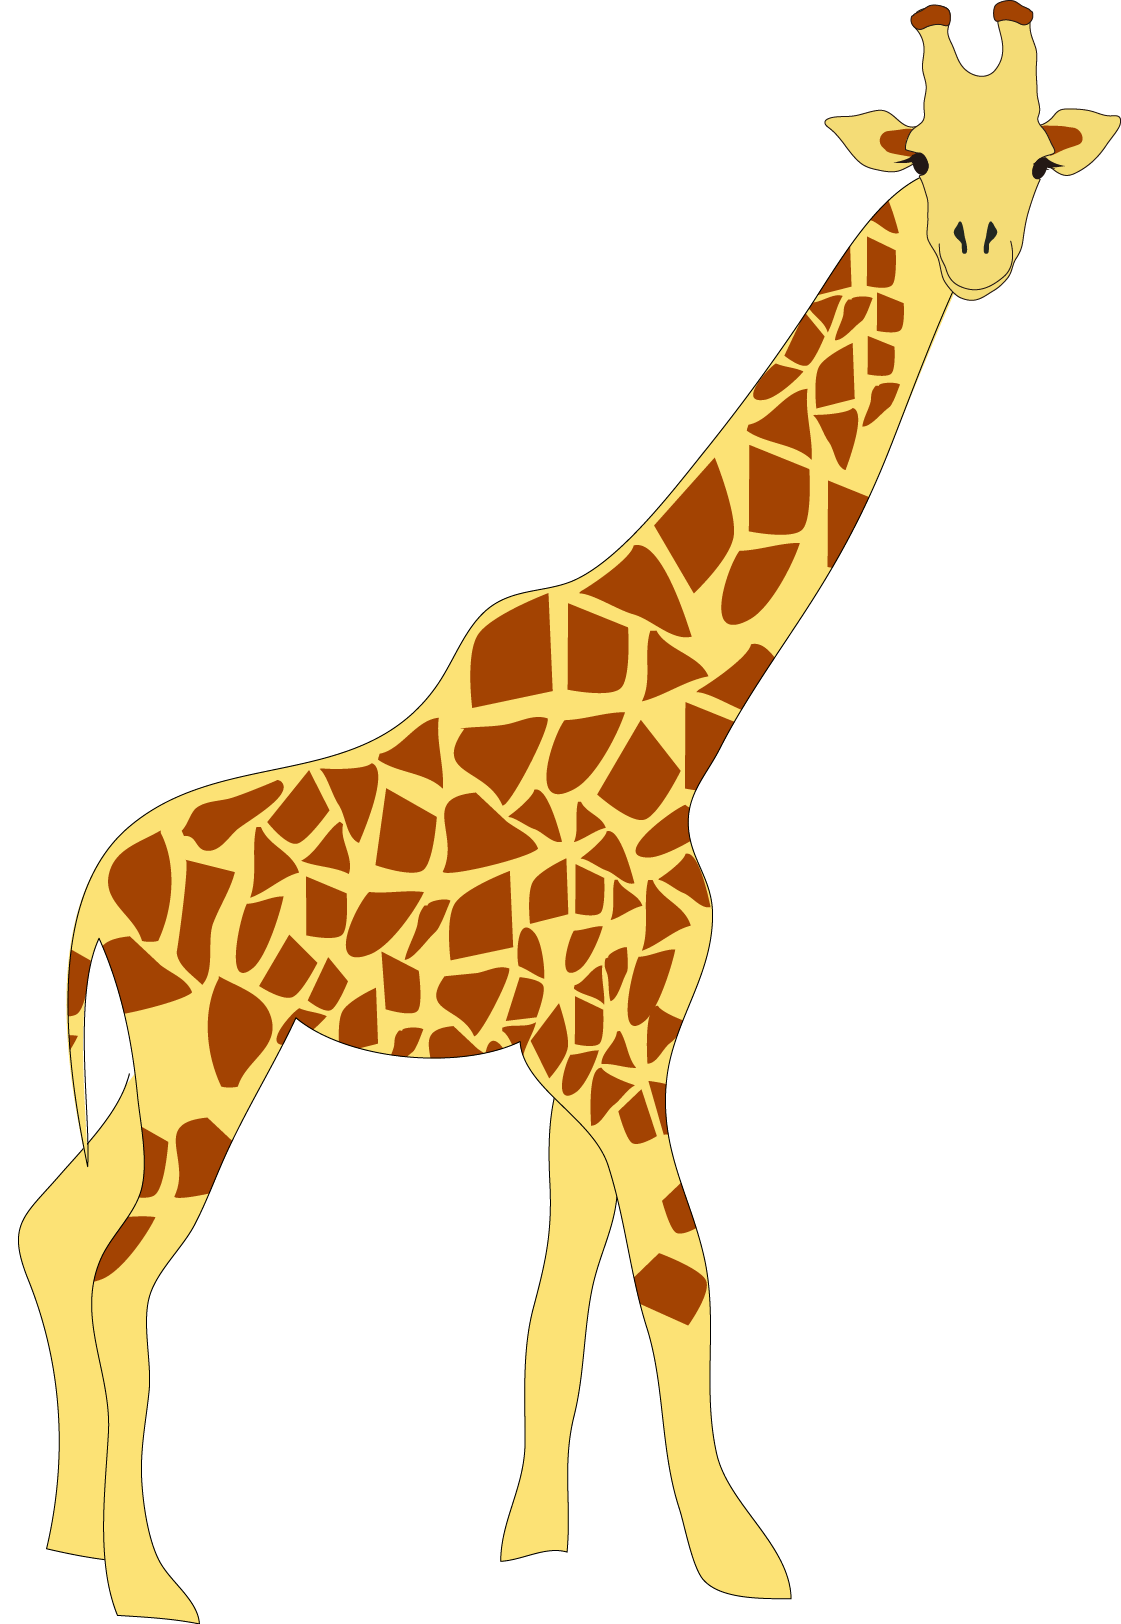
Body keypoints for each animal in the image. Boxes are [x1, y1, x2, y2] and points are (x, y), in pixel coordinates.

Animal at [19, 7, 1117, 1617]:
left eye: (1034, 160)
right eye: (920, 154)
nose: (976, 248)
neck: (690, 707)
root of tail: (98, 896)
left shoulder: (591, 1049)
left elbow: (560, 1296)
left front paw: (533, 1542)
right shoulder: (613, 1051)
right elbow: (680, 1275)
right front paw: (742, 1556)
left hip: (173, 1060)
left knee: (56, 1229)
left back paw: (73, 1538)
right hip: (209, 1049)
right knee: (120, 1270)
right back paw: (150, 1583)